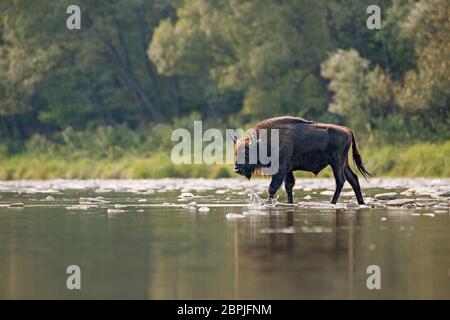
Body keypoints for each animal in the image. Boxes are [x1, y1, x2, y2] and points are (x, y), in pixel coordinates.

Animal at [234, 117, 370, 205]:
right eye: (235, 152)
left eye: (246, 152)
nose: (237, 169)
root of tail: (347, 130)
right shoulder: (288, 171)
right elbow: (289, 186)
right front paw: (290, 202)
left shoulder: (281, 169)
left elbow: (273, 187)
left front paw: (268, 202)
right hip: (344, 164)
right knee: (353, 179)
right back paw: (361, 202)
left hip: (337, 162)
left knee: (340, 180)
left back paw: (332, 202)